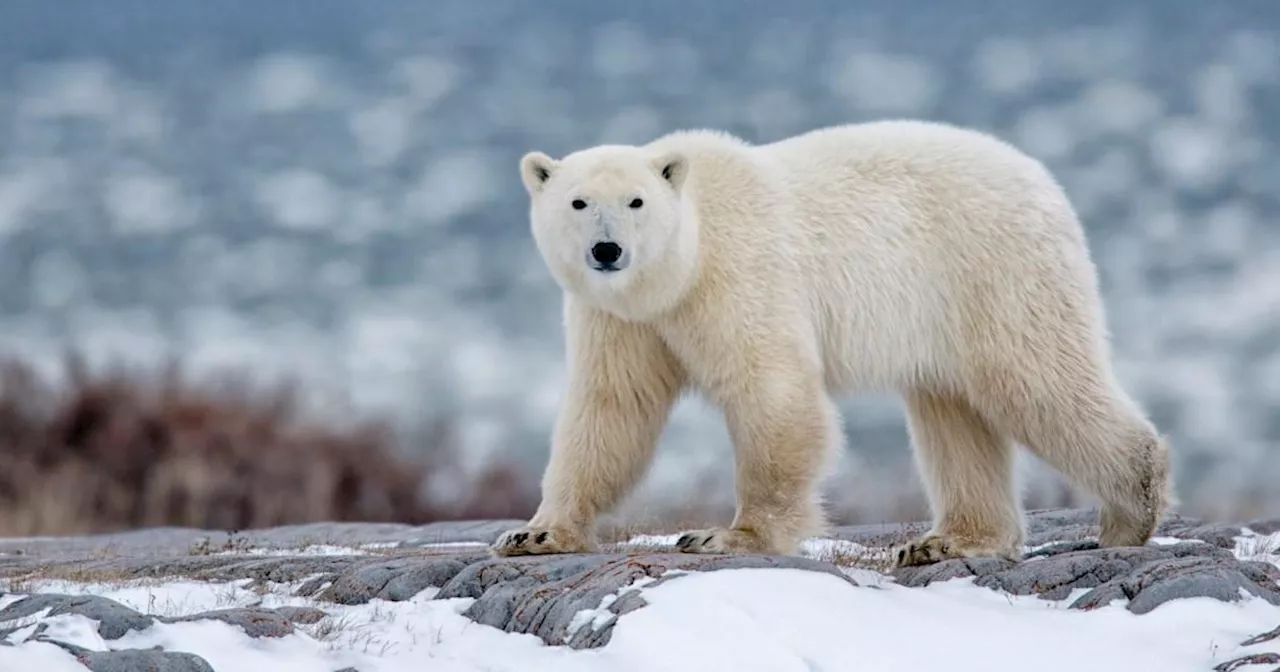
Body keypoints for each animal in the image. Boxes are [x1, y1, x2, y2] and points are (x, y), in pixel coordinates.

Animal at [488, 120, 1172, 565]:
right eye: (578, 202)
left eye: (635, 201)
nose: (607, 250)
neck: (682, 265)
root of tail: (1044, 181)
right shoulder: (620, 318)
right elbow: (611, 409)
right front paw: (535, 534)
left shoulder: (739, 276)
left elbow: (772, 393)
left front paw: (725, 536)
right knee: (954, 413)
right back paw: (947, 541)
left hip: (993, 270)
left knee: (1036, 380)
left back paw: (1130, 511)